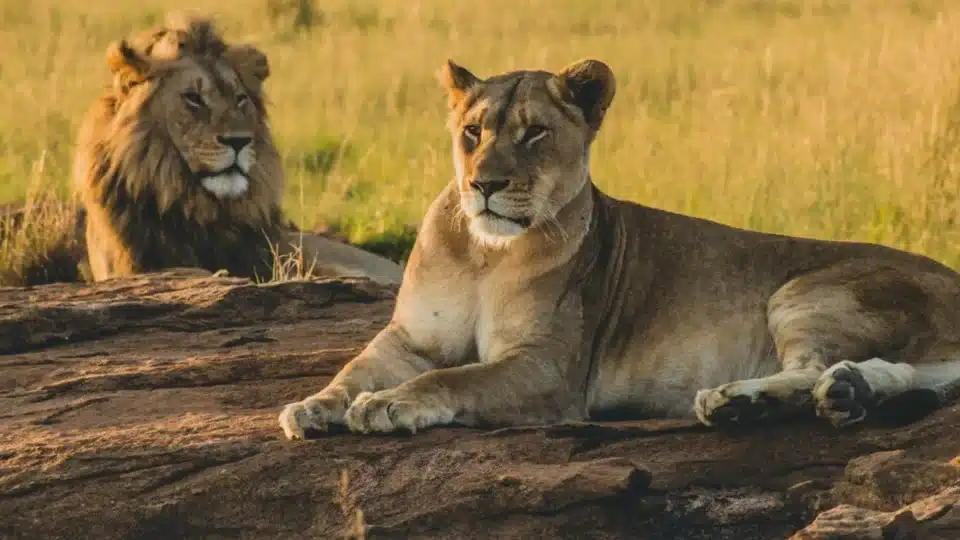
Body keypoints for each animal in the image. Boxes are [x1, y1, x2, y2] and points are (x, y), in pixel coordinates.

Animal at [278, 58, 960, 439]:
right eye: (472, 132)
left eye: (534, 134)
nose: (484, 185)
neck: (485, 255)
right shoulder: (410, 338)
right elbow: (354, 369)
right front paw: (312, 406)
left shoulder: (548, 370)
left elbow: (455, 377)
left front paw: (390, 404)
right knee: (890, 373)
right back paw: (849, 393)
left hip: (805, 291)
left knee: (812, 367)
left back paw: (738, 402)